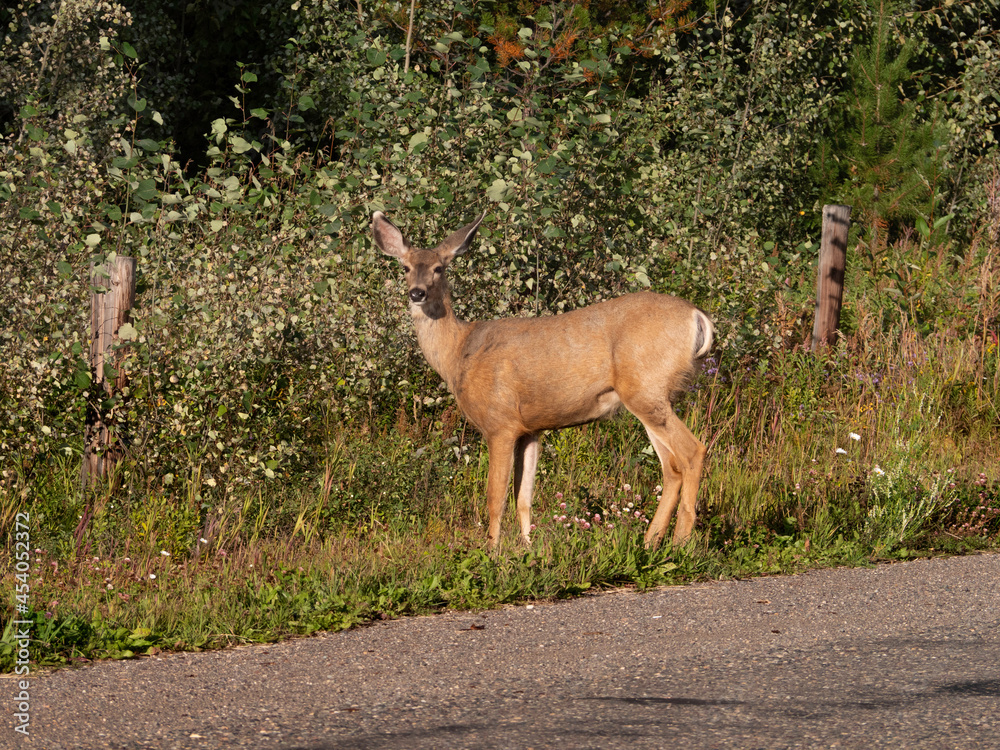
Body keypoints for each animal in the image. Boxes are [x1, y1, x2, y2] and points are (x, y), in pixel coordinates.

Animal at [373, 210, 714, 551]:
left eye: (438, 268)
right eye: (405, 267)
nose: (417, 293)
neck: (459, 353)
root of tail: (698, 317)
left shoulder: (500, 423)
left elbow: (495, 497)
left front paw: (493, 552)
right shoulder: (531, 429)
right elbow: (523, 498)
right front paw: (527, 547)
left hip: (646, 389)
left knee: (693, 451)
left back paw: (681, 544)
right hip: (651, 397)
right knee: (672, 468)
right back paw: (649, 543)